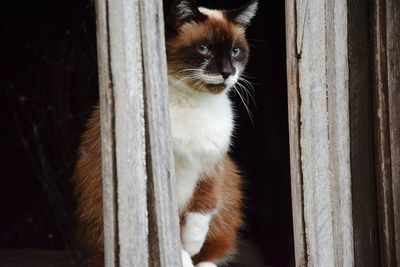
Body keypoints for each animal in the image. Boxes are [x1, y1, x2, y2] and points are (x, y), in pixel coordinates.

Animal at [72, 1, 258, 266]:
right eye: (204, 48)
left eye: (234, 52)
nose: (227, 72)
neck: (197, 102)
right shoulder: (165, 179)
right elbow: (172, 231)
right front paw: (180, 255)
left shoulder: (212, 165)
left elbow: (202, 212)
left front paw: (192, 244)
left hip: (230, 185)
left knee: (214, 249)